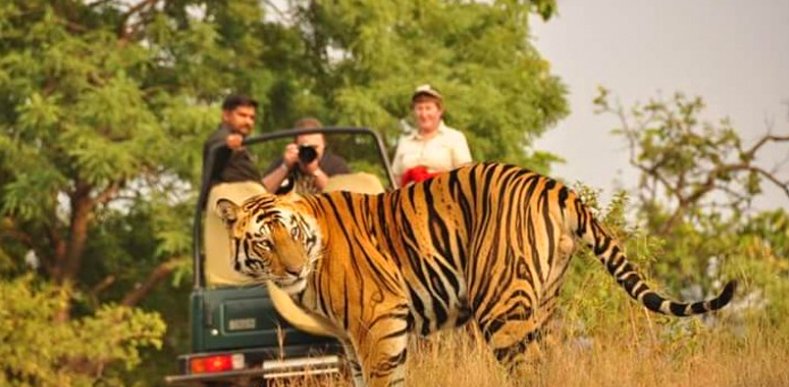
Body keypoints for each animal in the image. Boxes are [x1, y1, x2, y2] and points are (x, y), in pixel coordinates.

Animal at [214, 162, 732, 386]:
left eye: (291, 234)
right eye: (264, 241)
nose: (294, 269)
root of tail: (555, 185)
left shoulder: (379, 323)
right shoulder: (352, 341)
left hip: (501, 307)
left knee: (530, 371)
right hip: (542, 303)